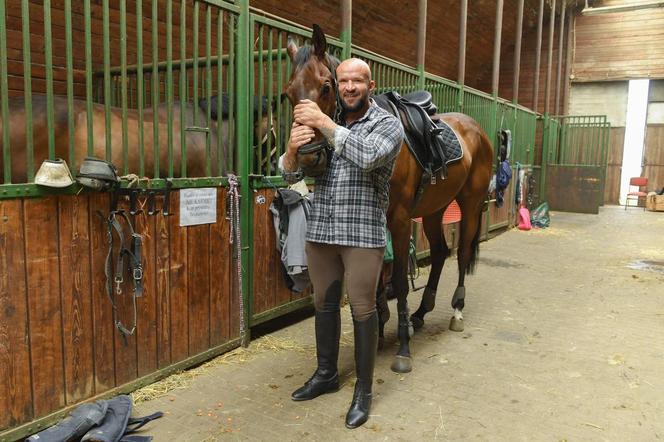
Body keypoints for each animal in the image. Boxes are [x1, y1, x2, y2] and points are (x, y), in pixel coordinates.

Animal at [286, 25, 492, 372]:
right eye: (289, 93)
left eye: (326, 87)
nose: (309, 157)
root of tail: (477, 129)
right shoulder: (379, 218)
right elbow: (378, 273)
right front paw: (380, 330)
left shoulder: (398, 218)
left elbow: (396, 276)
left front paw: (402, 348)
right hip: (435, 210)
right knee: (440, 252)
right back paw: (421, 314)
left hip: (471, 204)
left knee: (462, 252)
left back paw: (456, 311)